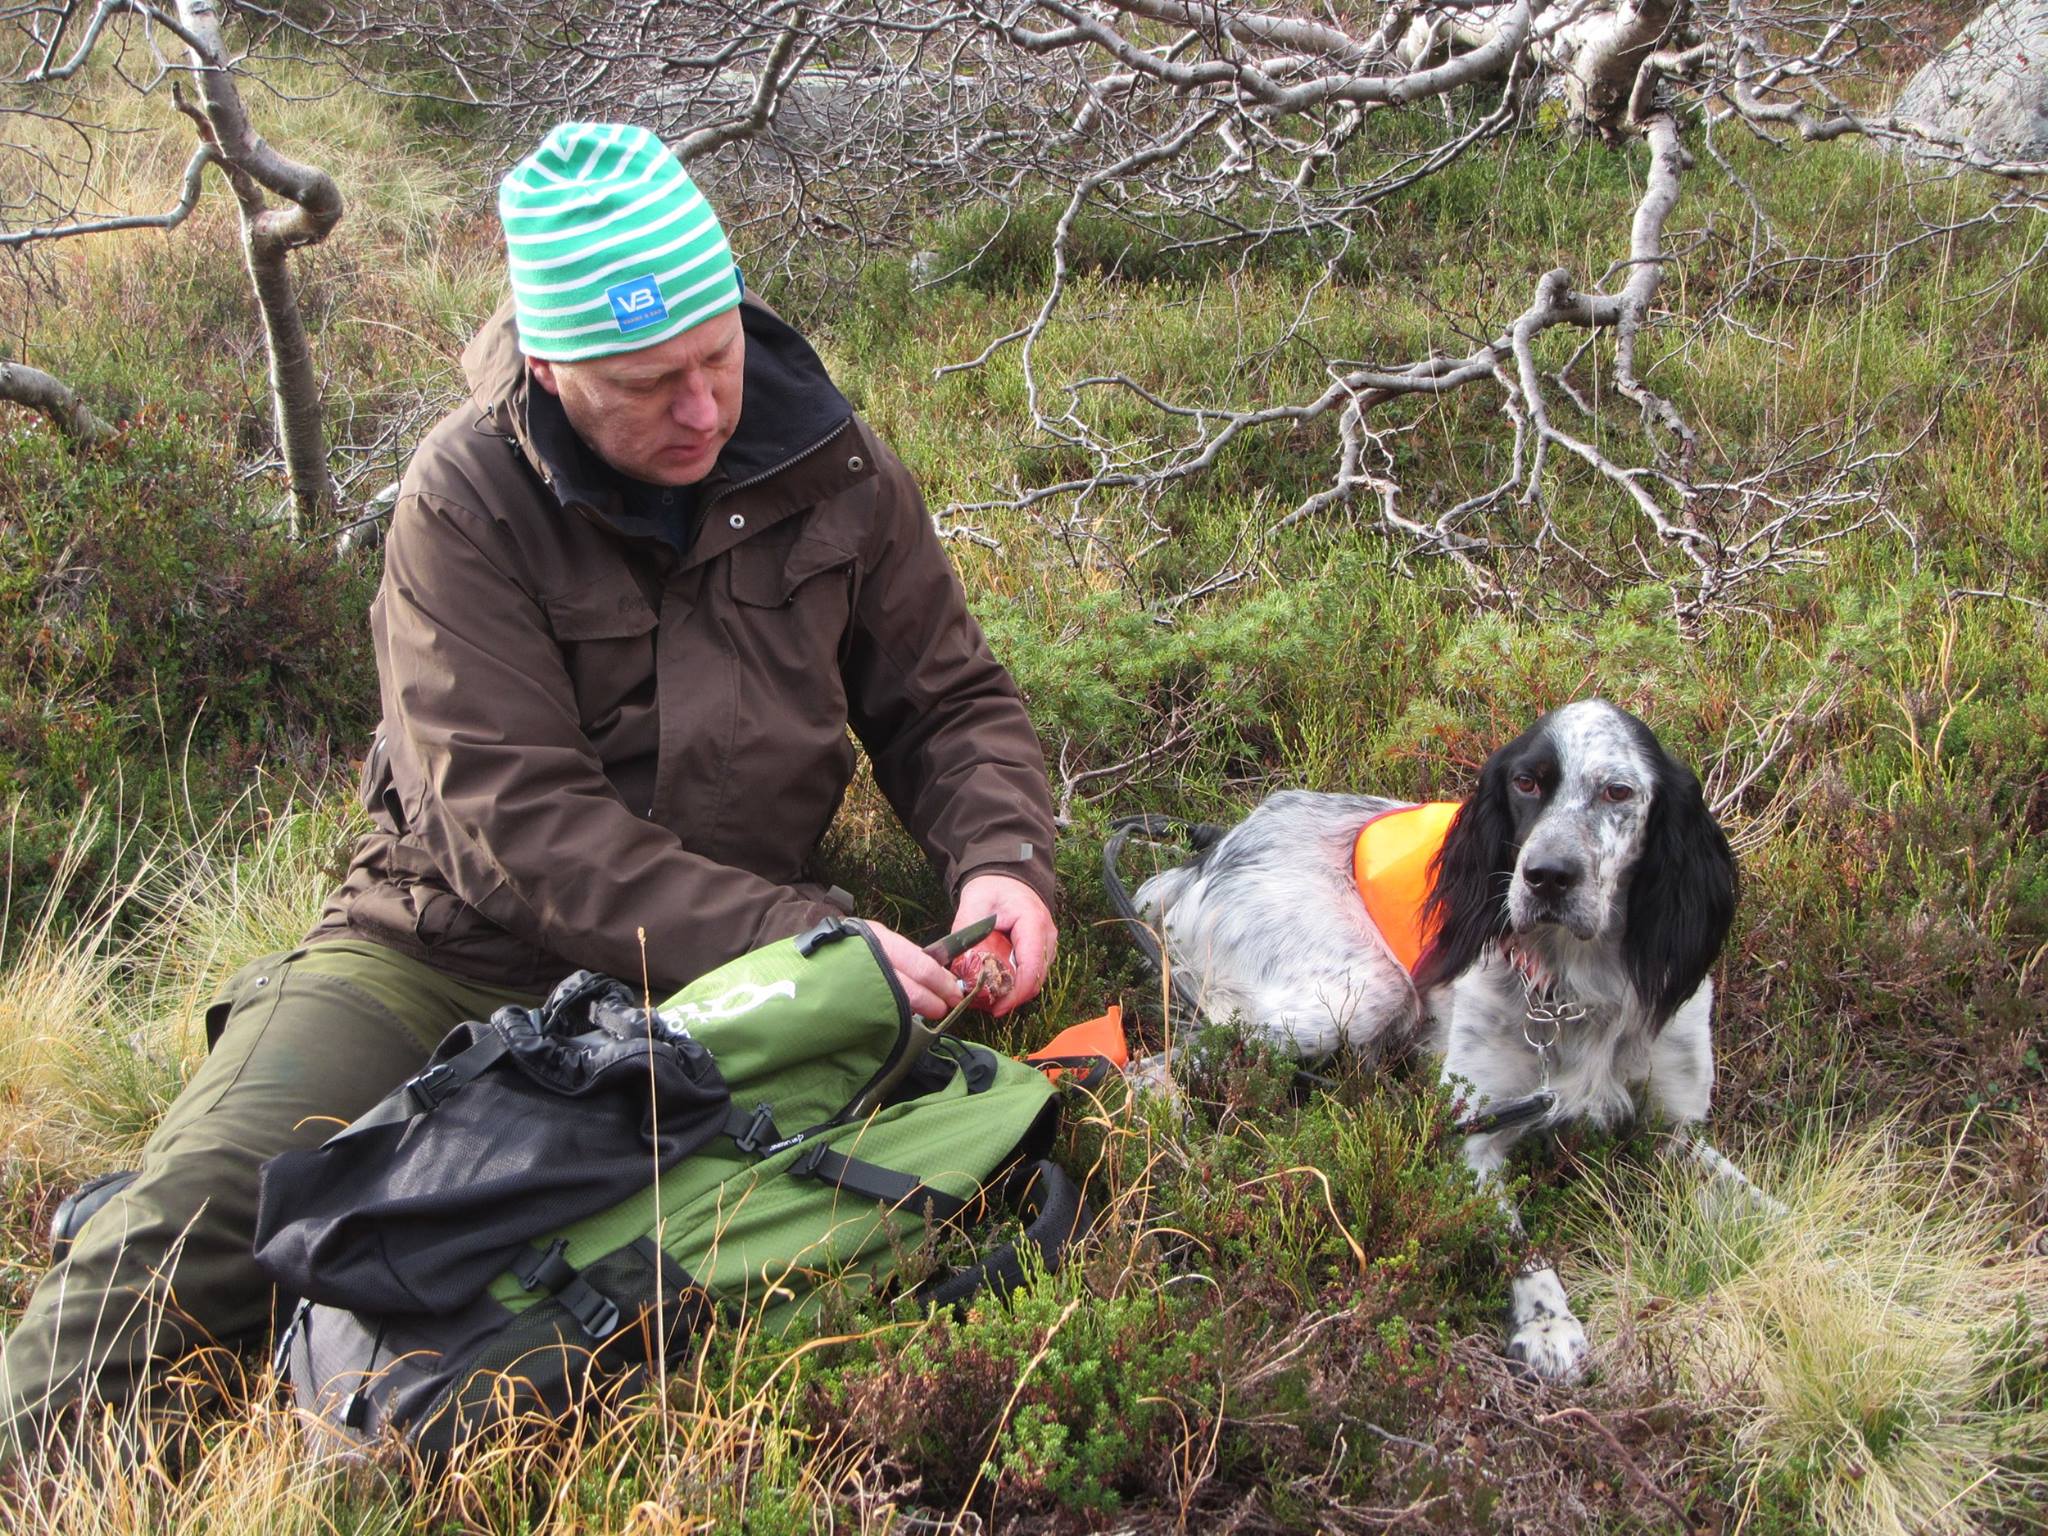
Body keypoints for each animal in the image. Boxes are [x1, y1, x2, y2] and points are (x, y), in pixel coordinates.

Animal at [1138, 696, 1744, 1384]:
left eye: (1618, 791)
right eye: (1525, 782)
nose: (1546, 877)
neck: (1578, 988)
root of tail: (1207, 855)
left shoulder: (1675, 1132)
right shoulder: (1471, 1131)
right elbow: (1518, 1244)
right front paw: (1548, 1323)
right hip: (1366, 993)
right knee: (1147, 1066)